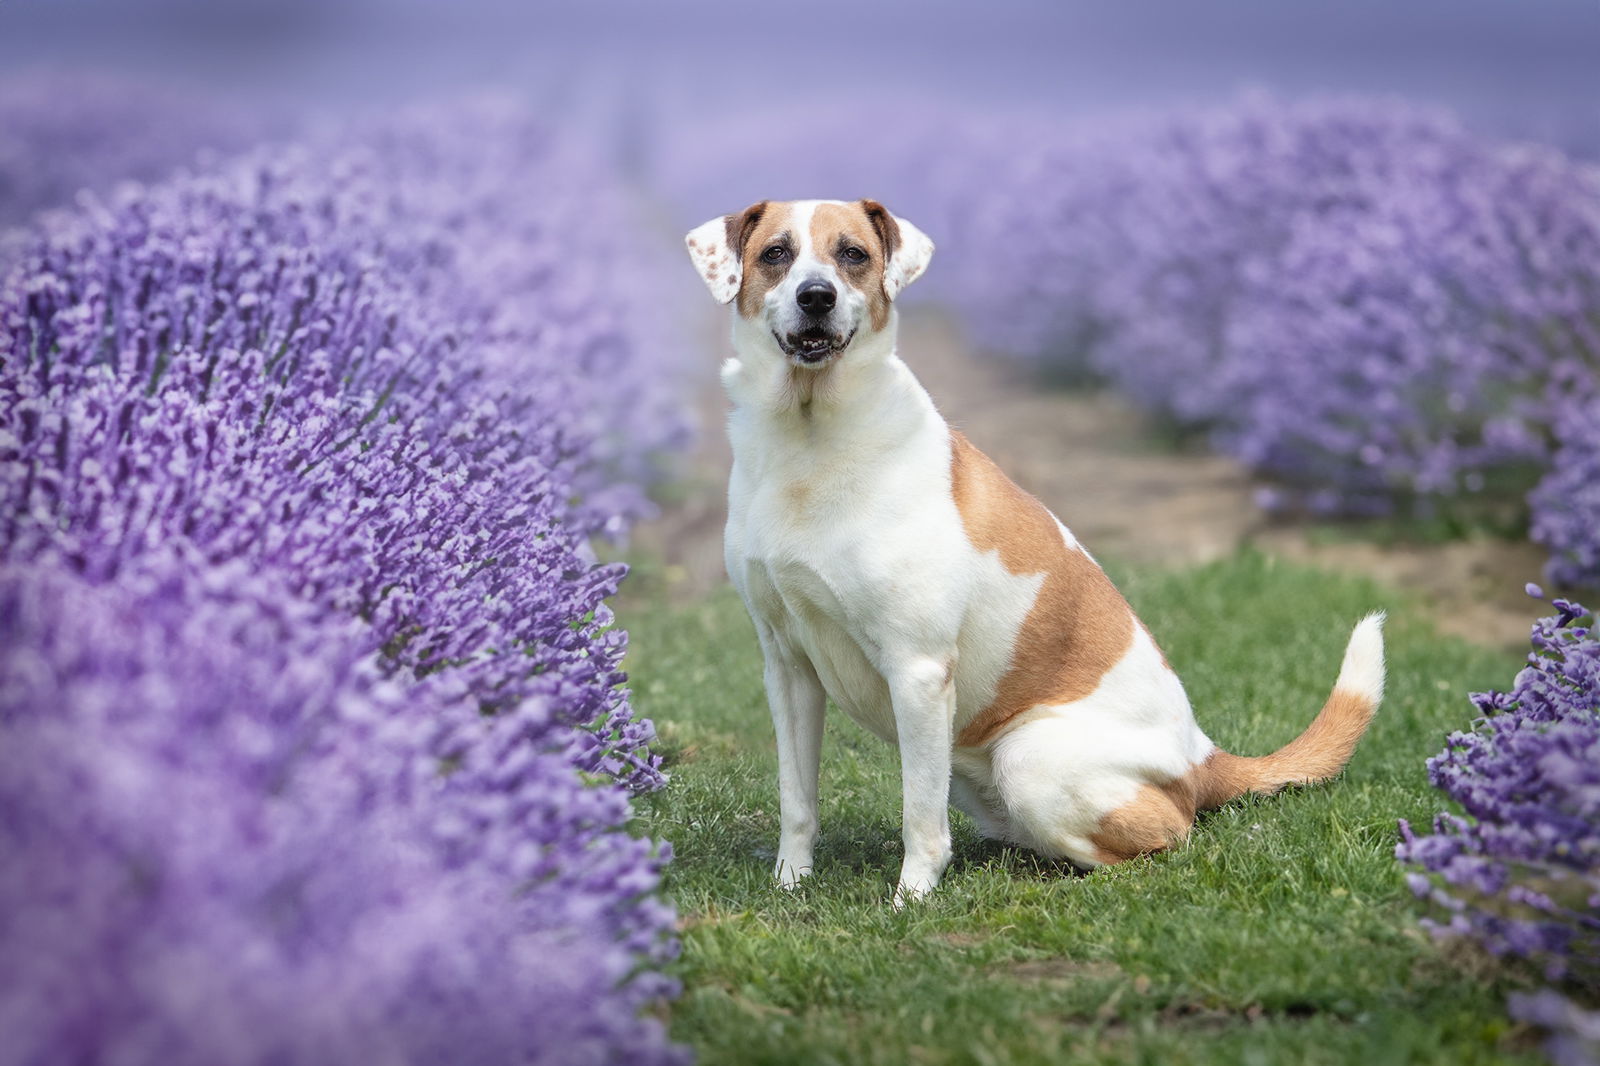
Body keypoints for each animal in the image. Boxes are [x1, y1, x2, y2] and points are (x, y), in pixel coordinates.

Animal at [681, 196, 1382, 896]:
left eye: (852, 253)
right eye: (776, 253)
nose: (817, 296)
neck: (808, 442)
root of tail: (1203, 756)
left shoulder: (918, 669)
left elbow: (918, 814)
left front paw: (912, 898)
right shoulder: (787, 666)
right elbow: (796, 798)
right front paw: (789, 883)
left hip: (1028, 759)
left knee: (1166, 839)